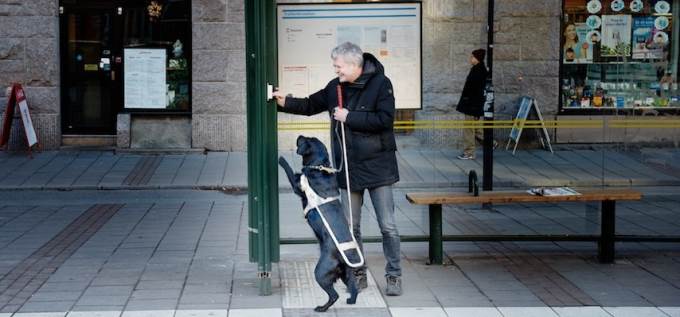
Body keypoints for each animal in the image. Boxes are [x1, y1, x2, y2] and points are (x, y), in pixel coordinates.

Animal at [278, 136, 364, 312]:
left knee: (334, 295)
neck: (318, 167)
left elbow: (289, 170)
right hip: (345, 275)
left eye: (306, 139)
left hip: (320, 273)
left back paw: (322, 308)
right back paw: (350, 300)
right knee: (353, 288)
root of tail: (342, 258)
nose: (299, 135)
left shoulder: (297, 185)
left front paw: (281, 159)